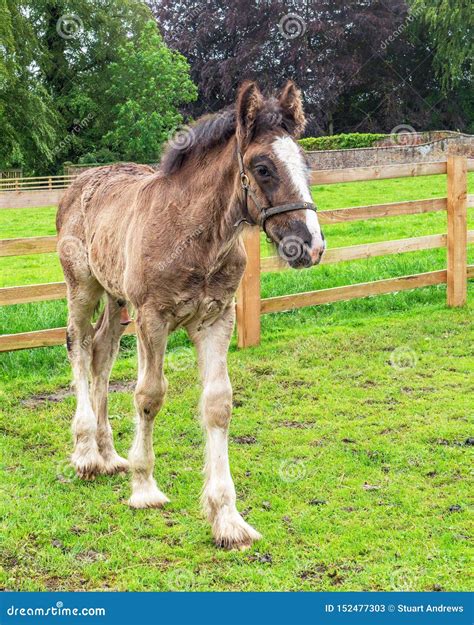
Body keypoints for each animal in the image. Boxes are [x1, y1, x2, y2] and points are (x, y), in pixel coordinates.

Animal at [56, 79, 326, 544]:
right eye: (262, 168)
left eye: (304, 163)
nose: (310, 245)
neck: (196, 235)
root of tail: (79, 183)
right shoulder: (153, 318)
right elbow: (149, 395)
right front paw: (145, 487)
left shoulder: (216, 320)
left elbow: (218, 404)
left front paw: (228, 518)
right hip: (84, 286)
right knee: (78, 345)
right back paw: (87, 453)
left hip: (116, 296)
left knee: (102, 352)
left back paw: (110, 455)